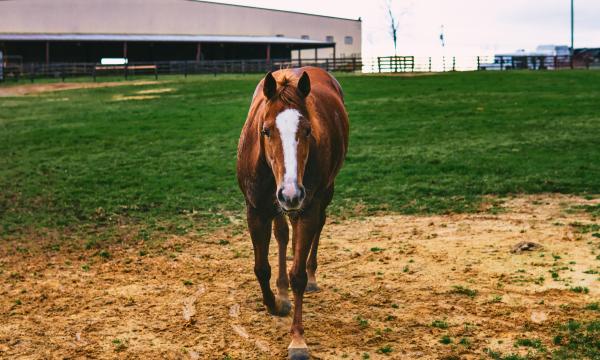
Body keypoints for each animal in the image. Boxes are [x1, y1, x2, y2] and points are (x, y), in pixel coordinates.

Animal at [237, 67, 350, 358]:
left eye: (308, 130)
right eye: (266, 131)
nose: (291, 193)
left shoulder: (307, 208)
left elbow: (297, 274)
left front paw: (298, 339)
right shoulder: (256, 211)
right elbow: (261, 268)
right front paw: (275, 304)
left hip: (322, 194)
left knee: (318, 227)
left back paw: (311, 277)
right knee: (282, 235)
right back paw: (282, 291)